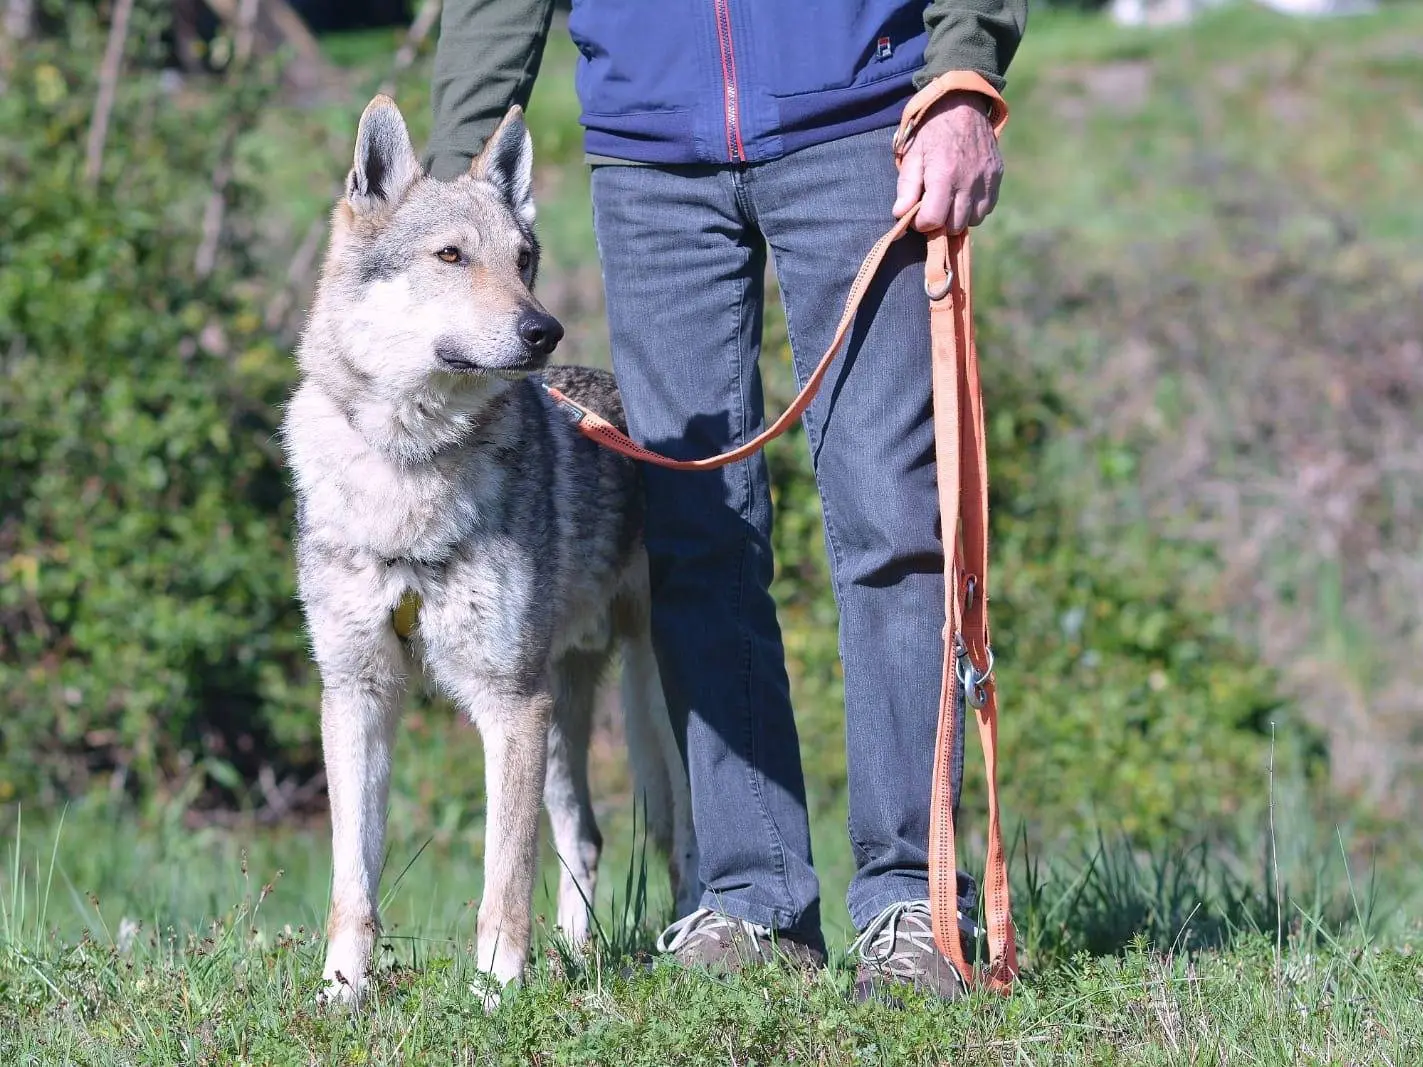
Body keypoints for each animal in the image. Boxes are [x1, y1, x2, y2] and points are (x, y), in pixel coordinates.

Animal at [281, 95, 699, 1006]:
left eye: (524, 260)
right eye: (451, 255)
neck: (409, 471)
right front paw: (340, 992)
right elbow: (352, 881)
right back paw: (577, 958)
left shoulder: (507, 704)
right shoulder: (358, 694)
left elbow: (502, 877)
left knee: (684, 831)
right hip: (561, 711)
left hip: (642, 701)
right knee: (587, 835)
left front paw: (497, 995)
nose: (543, 330)